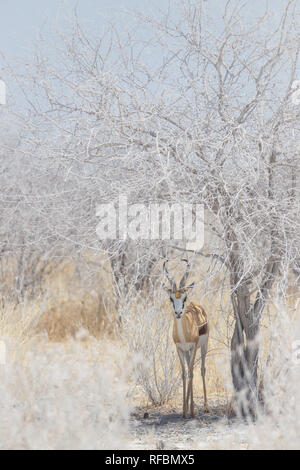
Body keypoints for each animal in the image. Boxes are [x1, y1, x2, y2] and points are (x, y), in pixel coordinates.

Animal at [164, 258, 209, 416]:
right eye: (171, 298)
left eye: (184, 297)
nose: (178, 313)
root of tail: (196, 305)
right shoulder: (180, 348)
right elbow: (184, 373)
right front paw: (184, 411)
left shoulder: (194, 346)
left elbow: (191, 372)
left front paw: (192, 412)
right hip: (188, 351)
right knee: (190, 369)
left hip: (203, 347)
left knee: (201, 369)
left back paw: (205, 407)